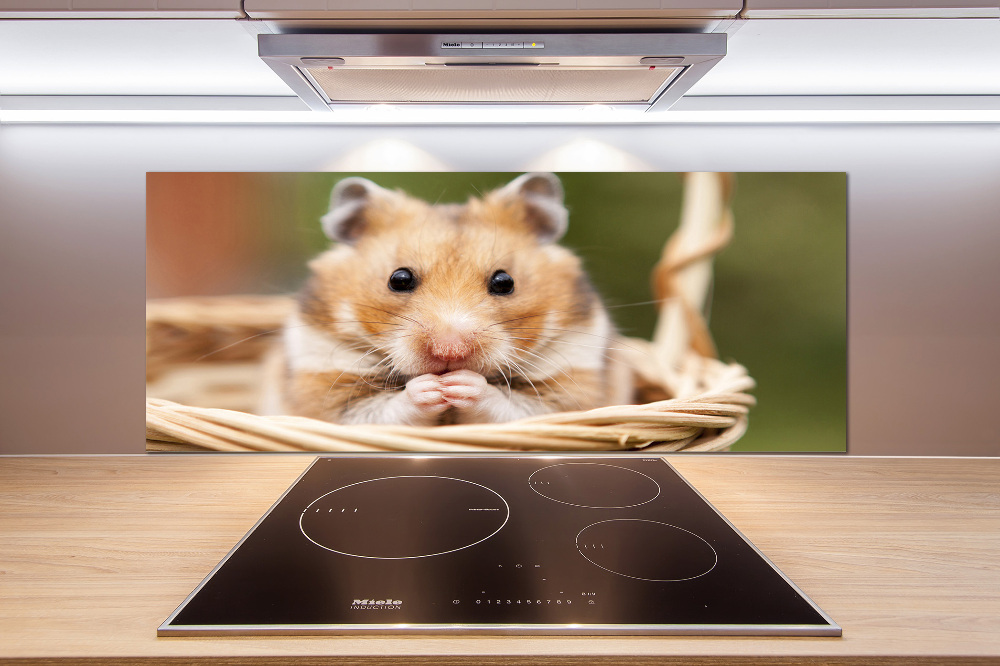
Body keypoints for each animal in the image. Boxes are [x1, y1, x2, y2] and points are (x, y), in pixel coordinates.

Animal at [266, 169, 620, 422]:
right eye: (399, 279)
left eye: (505, 282)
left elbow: (511, 406)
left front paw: (459, 385)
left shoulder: (571, 388)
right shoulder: (324, 389)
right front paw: (433, 389)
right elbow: (383, 409)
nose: (450, 351)